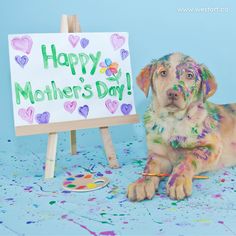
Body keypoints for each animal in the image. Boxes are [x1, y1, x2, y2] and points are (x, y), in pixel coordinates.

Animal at [128, 53, 236, 201]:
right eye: (163, 73)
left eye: (189, 75)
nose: (173, 93)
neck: (172, 121)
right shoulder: (158, 155)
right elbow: (150, 167)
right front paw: (142, 183)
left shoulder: (212, 146)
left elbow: (188, 159)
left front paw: (178, 180)